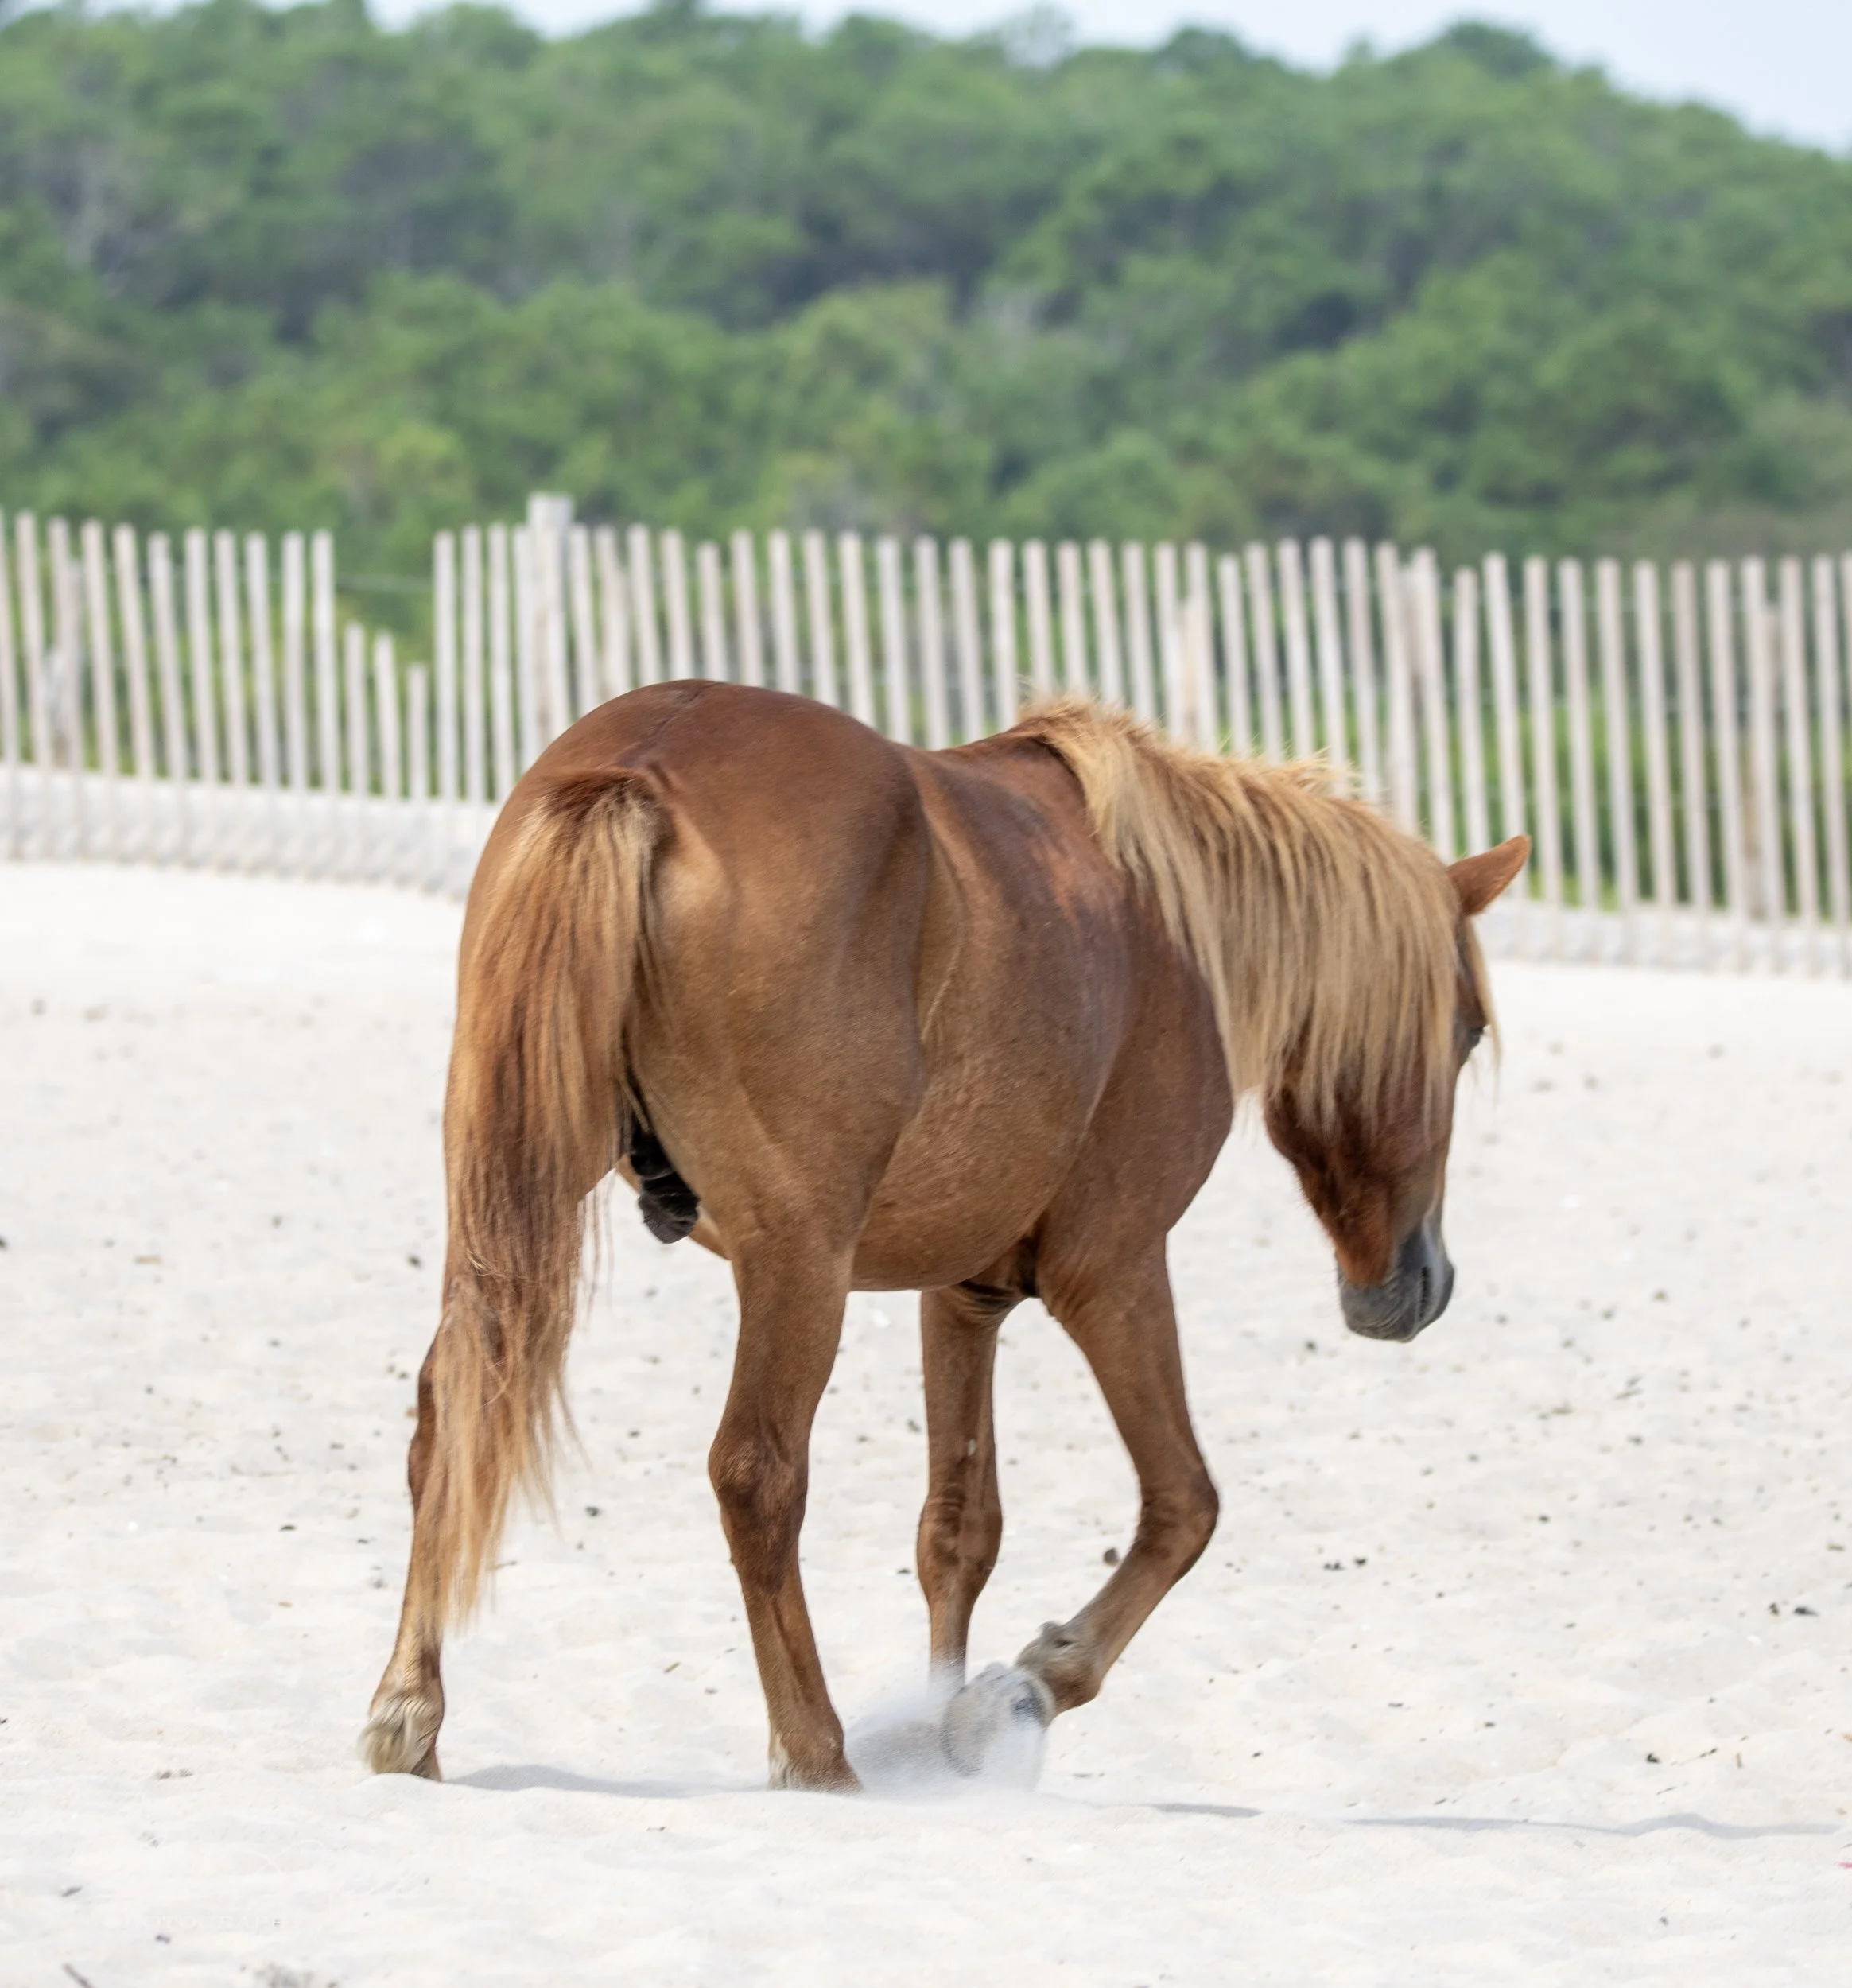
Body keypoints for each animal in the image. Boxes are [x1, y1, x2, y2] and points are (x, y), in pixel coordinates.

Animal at [360, 680, 1527, 1790]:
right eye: (1466, 1029)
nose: (1418, 1286)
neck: (1170, 926)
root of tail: (641, 765)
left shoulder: (963, 1293)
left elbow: (958, 1529)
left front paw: (937, 1724)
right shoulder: (1114, 1272)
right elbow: (1182, 1506)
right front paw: (1024, 1690)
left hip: (512, 1204)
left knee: (451, 1415)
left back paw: (410, 1711)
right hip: (800, 1263)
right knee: (757, 1473)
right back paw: (814, 1751)